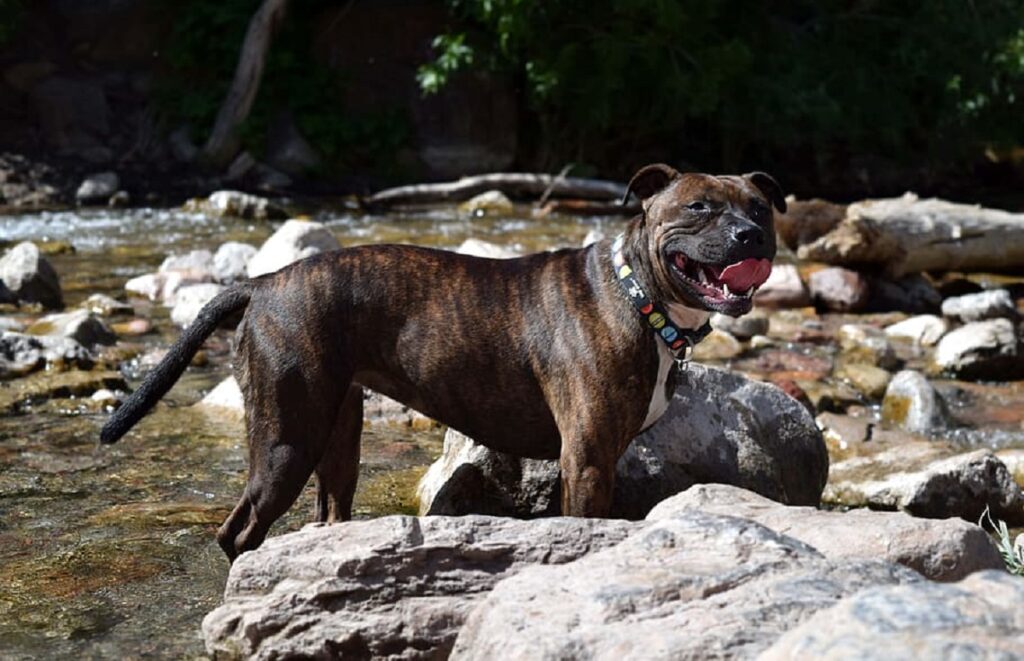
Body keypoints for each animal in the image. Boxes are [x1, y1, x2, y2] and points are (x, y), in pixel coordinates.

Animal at [99, 164, 778, 560]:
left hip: (336, 434)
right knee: (237, 531)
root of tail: (263, 283)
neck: (637, 295)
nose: (751, 236)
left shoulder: (597, 456)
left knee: (329, 510)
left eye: (759, 206)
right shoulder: (585, 459)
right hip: (285, 440)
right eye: (699, 207)